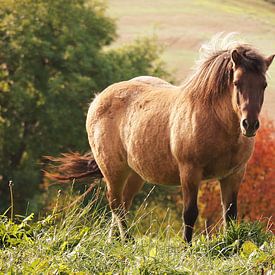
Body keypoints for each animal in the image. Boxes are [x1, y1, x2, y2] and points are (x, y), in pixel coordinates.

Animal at [46, 34, 274, 244]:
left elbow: (230, 214)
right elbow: (190, 213)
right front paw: (187, 248)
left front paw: (230, 245)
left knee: (122, 203)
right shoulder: (189, 172)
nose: (250, 124)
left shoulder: (234, 174)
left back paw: (115, 242)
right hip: (113, 169)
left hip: (135, 174)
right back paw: (128, 240)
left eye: (264, 84)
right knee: (115, 203)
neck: (216, 120)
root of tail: (98, 99)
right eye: (237, 82)